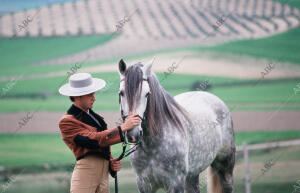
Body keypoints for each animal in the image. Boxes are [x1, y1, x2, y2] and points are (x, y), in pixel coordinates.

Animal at [118, 58, 236, 192]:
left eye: (147, 94)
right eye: (121, 93)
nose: (133, 133)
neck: (152, 144)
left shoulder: (176, 183)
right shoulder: (144, 184)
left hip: (225, 167)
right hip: (192, 175)